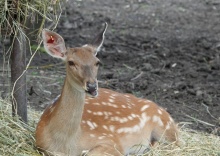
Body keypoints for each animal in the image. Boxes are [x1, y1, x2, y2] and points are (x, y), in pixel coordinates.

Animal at [34, 23, 179, 156]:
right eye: (71, 62)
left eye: (97, 62)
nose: (92, 86)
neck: (65, 145)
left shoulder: (112, 142)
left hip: (165, 127)